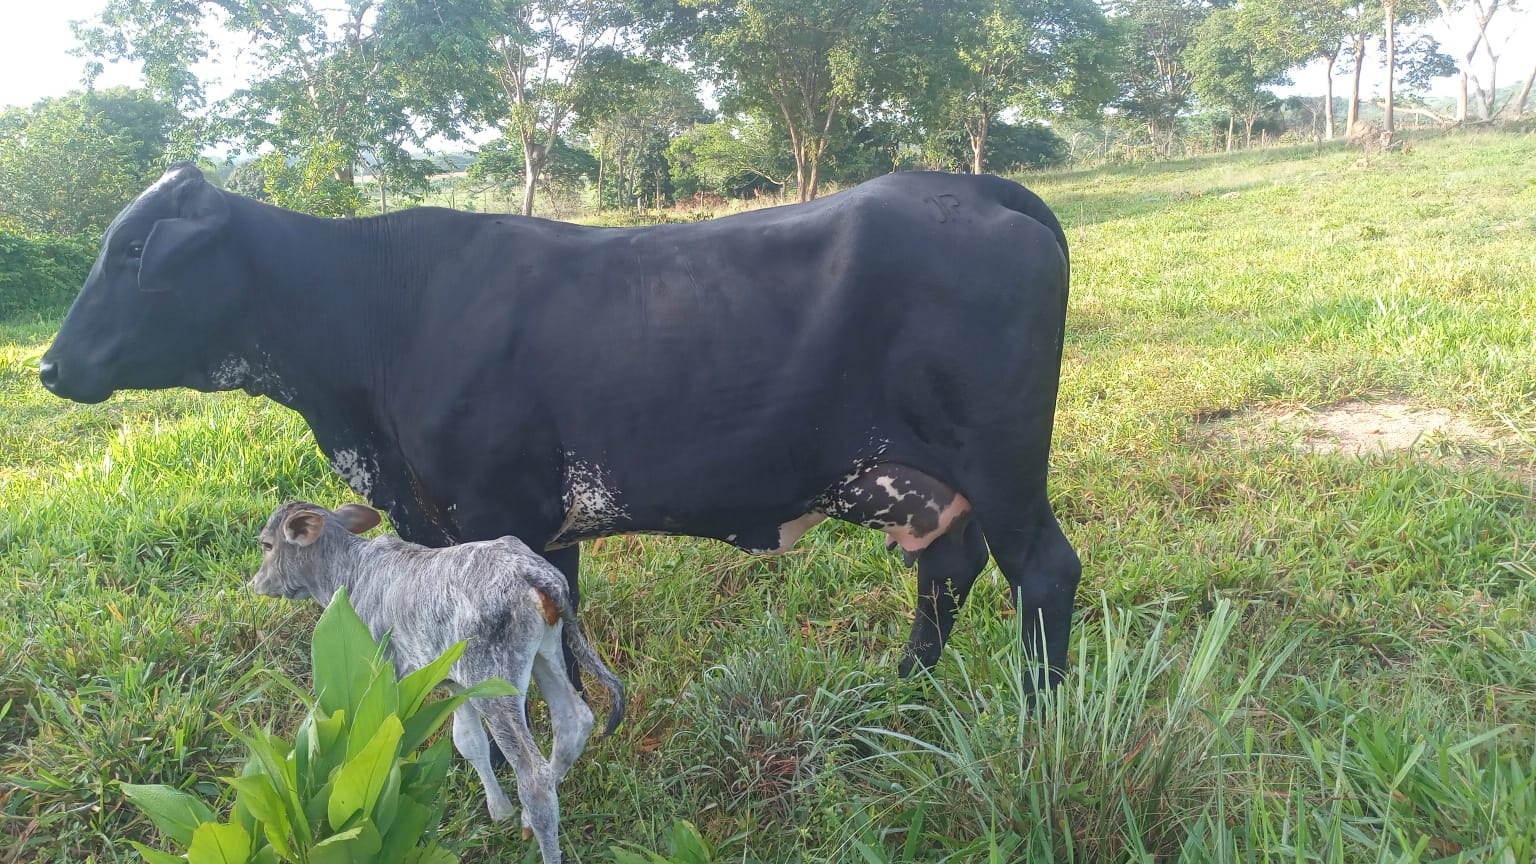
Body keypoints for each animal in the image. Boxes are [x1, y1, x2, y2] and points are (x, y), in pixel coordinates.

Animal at [42, 161, 1087, 685]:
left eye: (133, 252)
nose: (48, 366)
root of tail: (964, 183)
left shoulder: (502, 506)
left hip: (1001, 461)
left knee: (1041, 569)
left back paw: (1033, 716)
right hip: (909, 479)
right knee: (946, 567)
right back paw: (900, 688)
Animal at [248, 498, 620, 860]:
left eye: (267, 545)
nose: (256, 583)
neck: (350, 573)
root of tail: (530, 570)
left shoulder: (387, 676)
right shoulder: (454, 684)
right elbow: (469, 741)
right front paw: (500, 812)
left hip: (494, 685)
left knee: (534, 776)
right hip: (545, 653)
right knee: (574, 721)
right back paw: (528, 816)